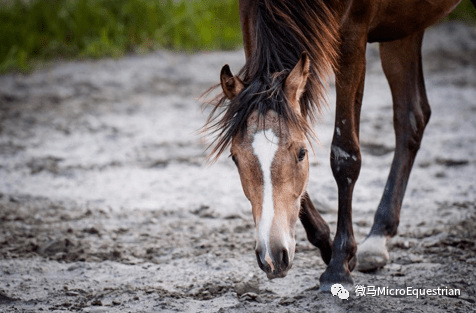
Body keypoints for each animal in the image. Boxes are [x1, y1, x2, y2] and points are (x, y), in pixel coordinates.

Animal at [202, 0, 472, 290]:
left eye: (301, 153)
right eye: (235, 158)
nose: (272, 257)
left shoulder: (353, 37)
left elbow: (345, 155)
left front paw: (339, 264)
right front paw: (328, 246)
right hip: (404, 28)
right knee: (412, 117)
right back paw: (379, 235)